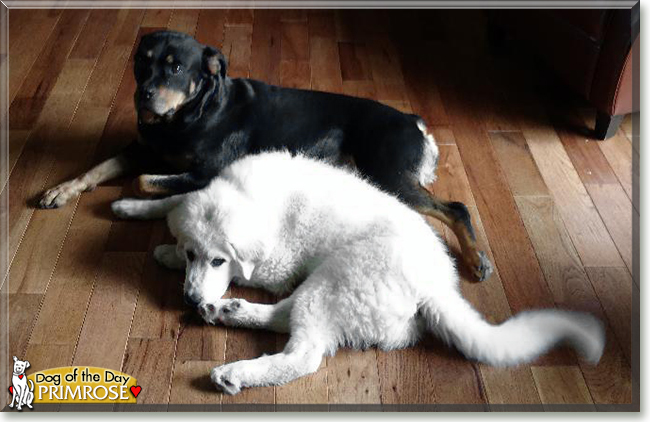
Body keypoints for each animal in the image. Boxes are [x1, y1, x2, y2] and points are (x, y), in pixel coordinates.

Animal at [36, 29, 492, 280]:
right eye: (140, 64)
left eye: (176, 68)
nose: (141, 96)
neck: (188, 113)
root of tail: (414, 122)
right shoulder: (139, 146)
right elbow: (98, 167)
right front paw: (60, 190)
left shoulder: (206, 170)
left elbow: (143, 179)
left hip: (389, 173)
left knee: (455, 208)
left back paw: (476, 260)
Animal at [111, 152, 604, 396]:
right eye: (196, 252)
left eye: (219, 260)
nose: (190, 300)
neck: (253, 198)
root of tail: (436, 288)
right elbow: (175, 200)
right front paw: (138, 213)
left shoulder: (274, 267)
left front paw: (164, 251)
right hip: (329, 285)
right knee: (285, 316)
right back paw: (225, 311)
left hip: (336, 280)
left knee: (303, 352)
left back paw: (234, 370)